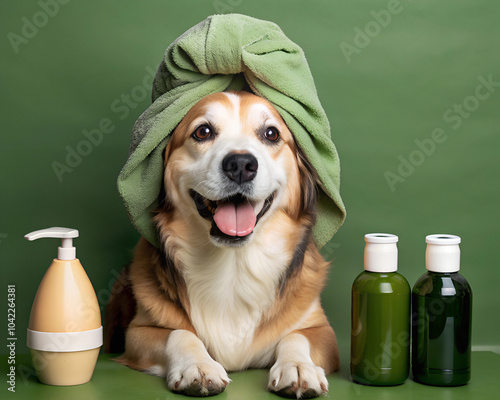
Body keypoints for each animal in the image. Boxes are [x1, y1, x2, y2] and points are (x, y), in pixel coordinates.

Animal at [105, 91, 340, 400]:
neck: (233, 266)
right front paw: (198, 366)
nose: (241, 165)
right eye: (203, 132)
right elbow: (180, 333)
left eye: (271, 133)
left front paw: (299, 367)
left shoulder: (323, 331)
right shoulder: (140, 330)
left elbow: (296, 336)